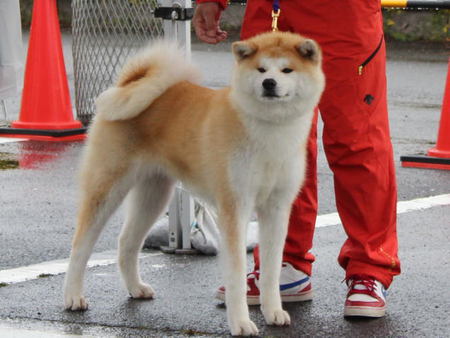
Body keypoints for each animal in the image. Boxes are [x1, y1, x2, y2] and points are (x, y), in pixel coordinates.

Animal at [64, 31, 324, 336]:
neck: (269, 132)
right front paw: (241, 322)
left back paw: (136, 288)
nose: (269, 83)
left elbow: (271, 270)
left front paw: (273, 311)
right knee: (80, 245)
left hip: (154, 194)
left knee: (127, 242)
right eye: (261, 69)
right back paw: (73, 296)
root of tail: (128, 85)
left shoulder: (277, 208)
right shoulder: (234, 208)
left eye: (287, 70)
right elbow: (236, 273)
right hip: (107, 187)